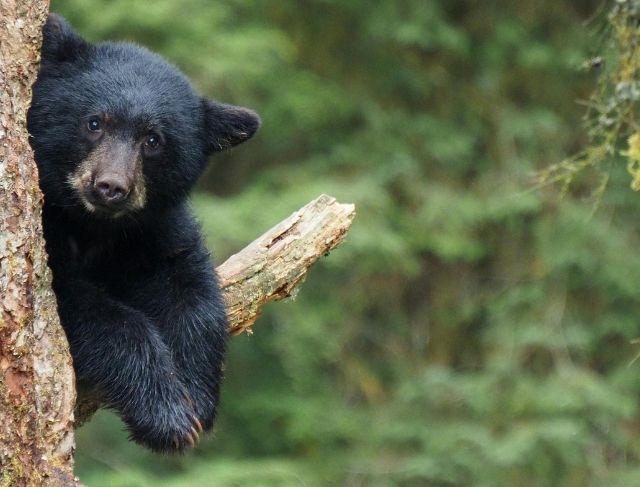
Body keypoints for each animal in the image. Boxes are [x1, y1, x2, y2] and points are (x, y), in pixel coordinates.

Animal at [27, 14, 260, 453]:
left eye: (153, 140)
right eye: (95, 122)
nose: (110, 187)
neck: (93, 224)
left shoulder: (152, 227)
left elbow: (187, 286)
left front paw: (197, 396)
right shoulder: (49, 231)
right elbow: (91, 308)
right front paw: (167, 415)